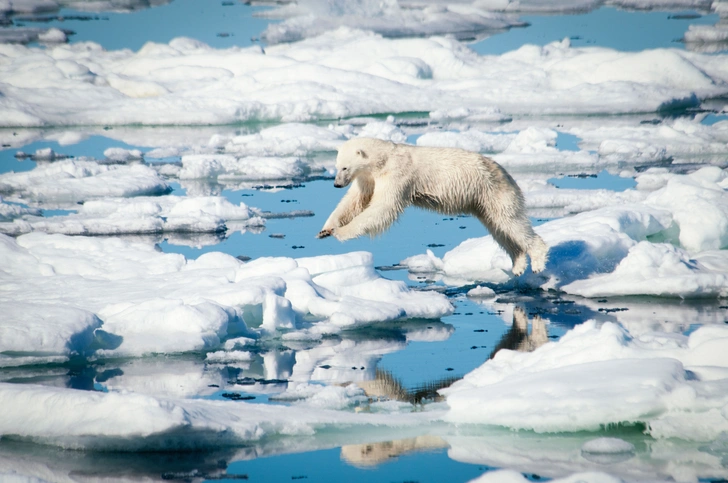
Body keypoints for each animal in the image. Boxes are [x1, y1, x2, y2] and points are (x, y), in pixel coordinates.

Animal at [316, 138, 548, 278]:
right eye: (336, 166)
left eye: (344, 167)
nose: (336, 184)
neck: (384, 158)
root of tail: (505, 172)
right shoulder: (368, 178)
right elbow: (355, 201)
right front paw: (325, 229)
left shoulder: (397, 175)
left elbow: (382, 207)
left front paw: (341, 232)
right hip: (483, 202)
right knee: (499, 229)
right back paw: (518, 265)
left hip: (494, 191)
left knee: (511, 222)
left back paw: (537, 260)